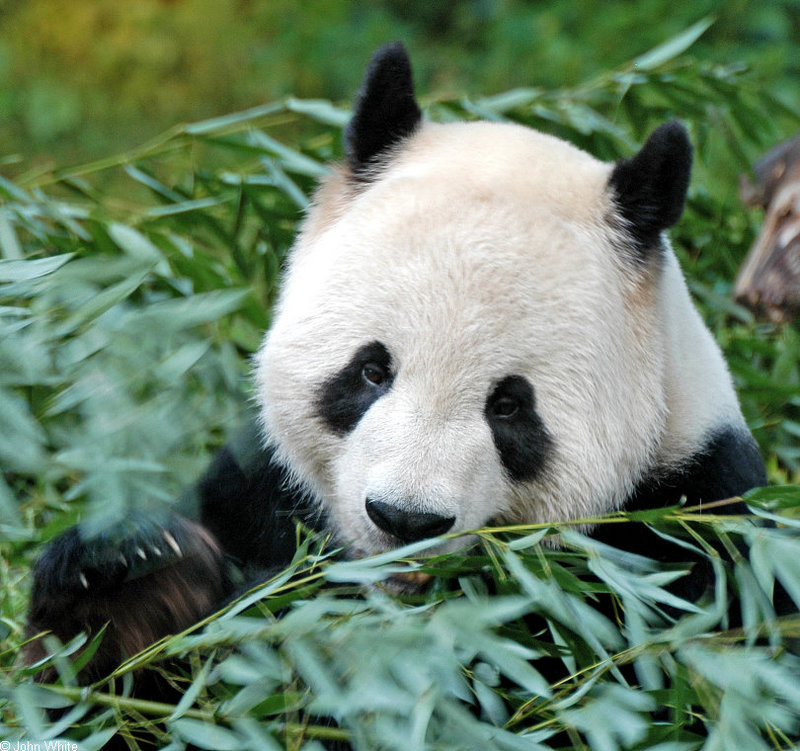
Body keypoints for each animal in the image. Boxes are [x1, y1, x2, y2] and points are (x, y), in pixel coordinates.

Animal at [25, 39, 764, 688]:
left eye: (510, 405)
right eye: (371, 371)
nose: (406, 521)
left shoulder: (685, 541)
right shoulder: (260, 481)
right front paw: (134, 572)